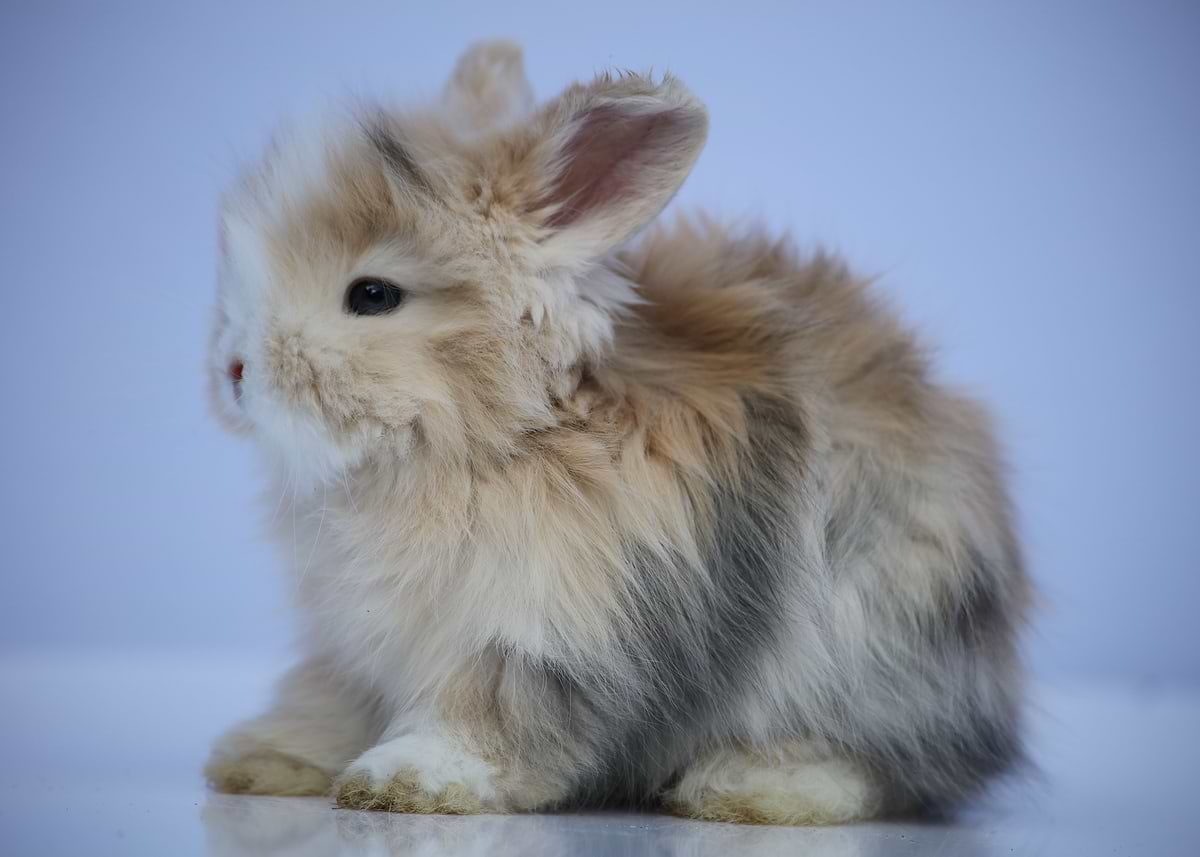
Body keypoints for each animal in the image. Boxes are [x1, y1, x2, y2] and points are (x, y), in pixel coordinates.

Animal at [204, 40, 1029, 825]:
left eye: (373, 295)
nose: (234, 370)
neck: (507, 432)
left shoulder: (550, 629)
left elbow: (486, 716)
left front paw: (403, 778)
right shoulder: (353, 645)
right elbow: (329, 700)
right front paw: (264, 756)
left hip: (874, 644)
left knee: (886, 765)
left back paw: (752, 788)